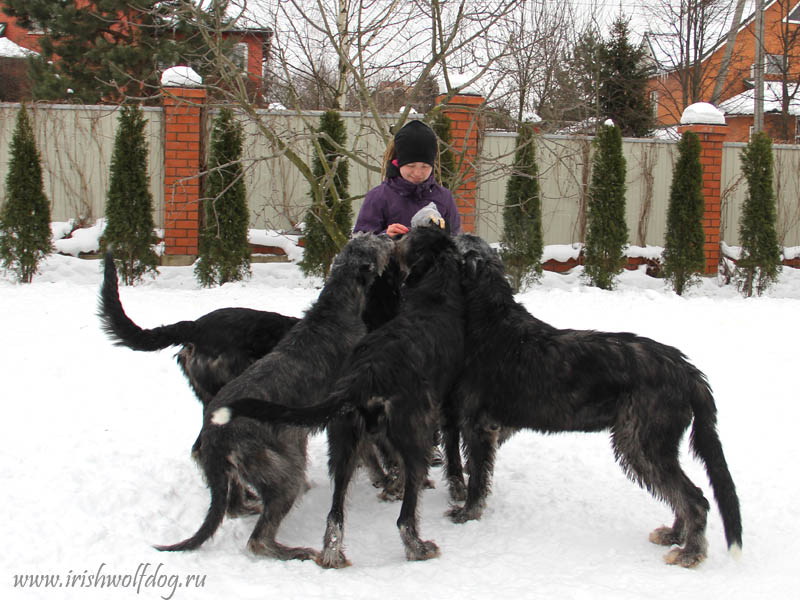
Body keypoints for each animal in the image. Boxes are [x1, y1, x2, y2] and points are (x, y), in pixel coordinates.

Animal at [154, 232, 396, 560]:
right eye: (373, 242)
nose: (388, 235)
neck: (334, 311)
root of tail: (216, 435)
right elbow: (368, 448)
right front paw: (384, 478)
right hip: (282, 472)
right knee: (259, 540)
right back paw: (295, 551)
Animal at [217, 226, 468, 568]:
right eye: (374, 242)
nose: (388, 235)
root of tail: (366, 376)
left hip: (341, 444)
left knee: (335, 514)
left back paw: (331, 553)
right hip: (405, 437)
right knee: (405, 515)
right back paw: (417, 547)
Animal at [446, 233, 740, 568]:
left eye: (454, 242)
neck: (490, 320)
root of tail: (688, 372)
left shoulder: (479, 425)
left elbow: (477, 476)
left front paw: (467, 513)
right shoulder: (500, 424)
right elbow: (479, 466)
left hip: (641, 442)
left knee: (694, 498)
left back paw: (691, 552)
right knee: (683, 493)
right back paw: (674, 534)